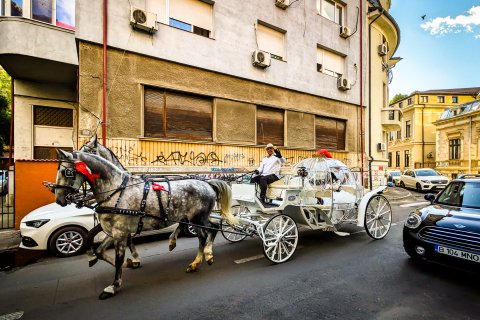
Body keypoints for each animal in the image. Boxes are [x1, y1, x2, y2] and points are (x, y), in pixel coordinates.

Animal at [54, 150, 238, 300]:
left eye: (66, 171)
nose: (59, 200)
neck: (116, 190)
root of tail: (207, 183)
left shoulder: (120, 232)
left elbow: (118, 259)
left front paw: (114, 286)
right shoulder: (115, 231)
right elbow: (99, 250)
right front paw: (128, 263)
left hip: (198, 218)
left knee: (213, 228)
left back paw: (207, 254)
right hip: (193, 219)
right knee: (202, 236)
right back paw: (195, 261)